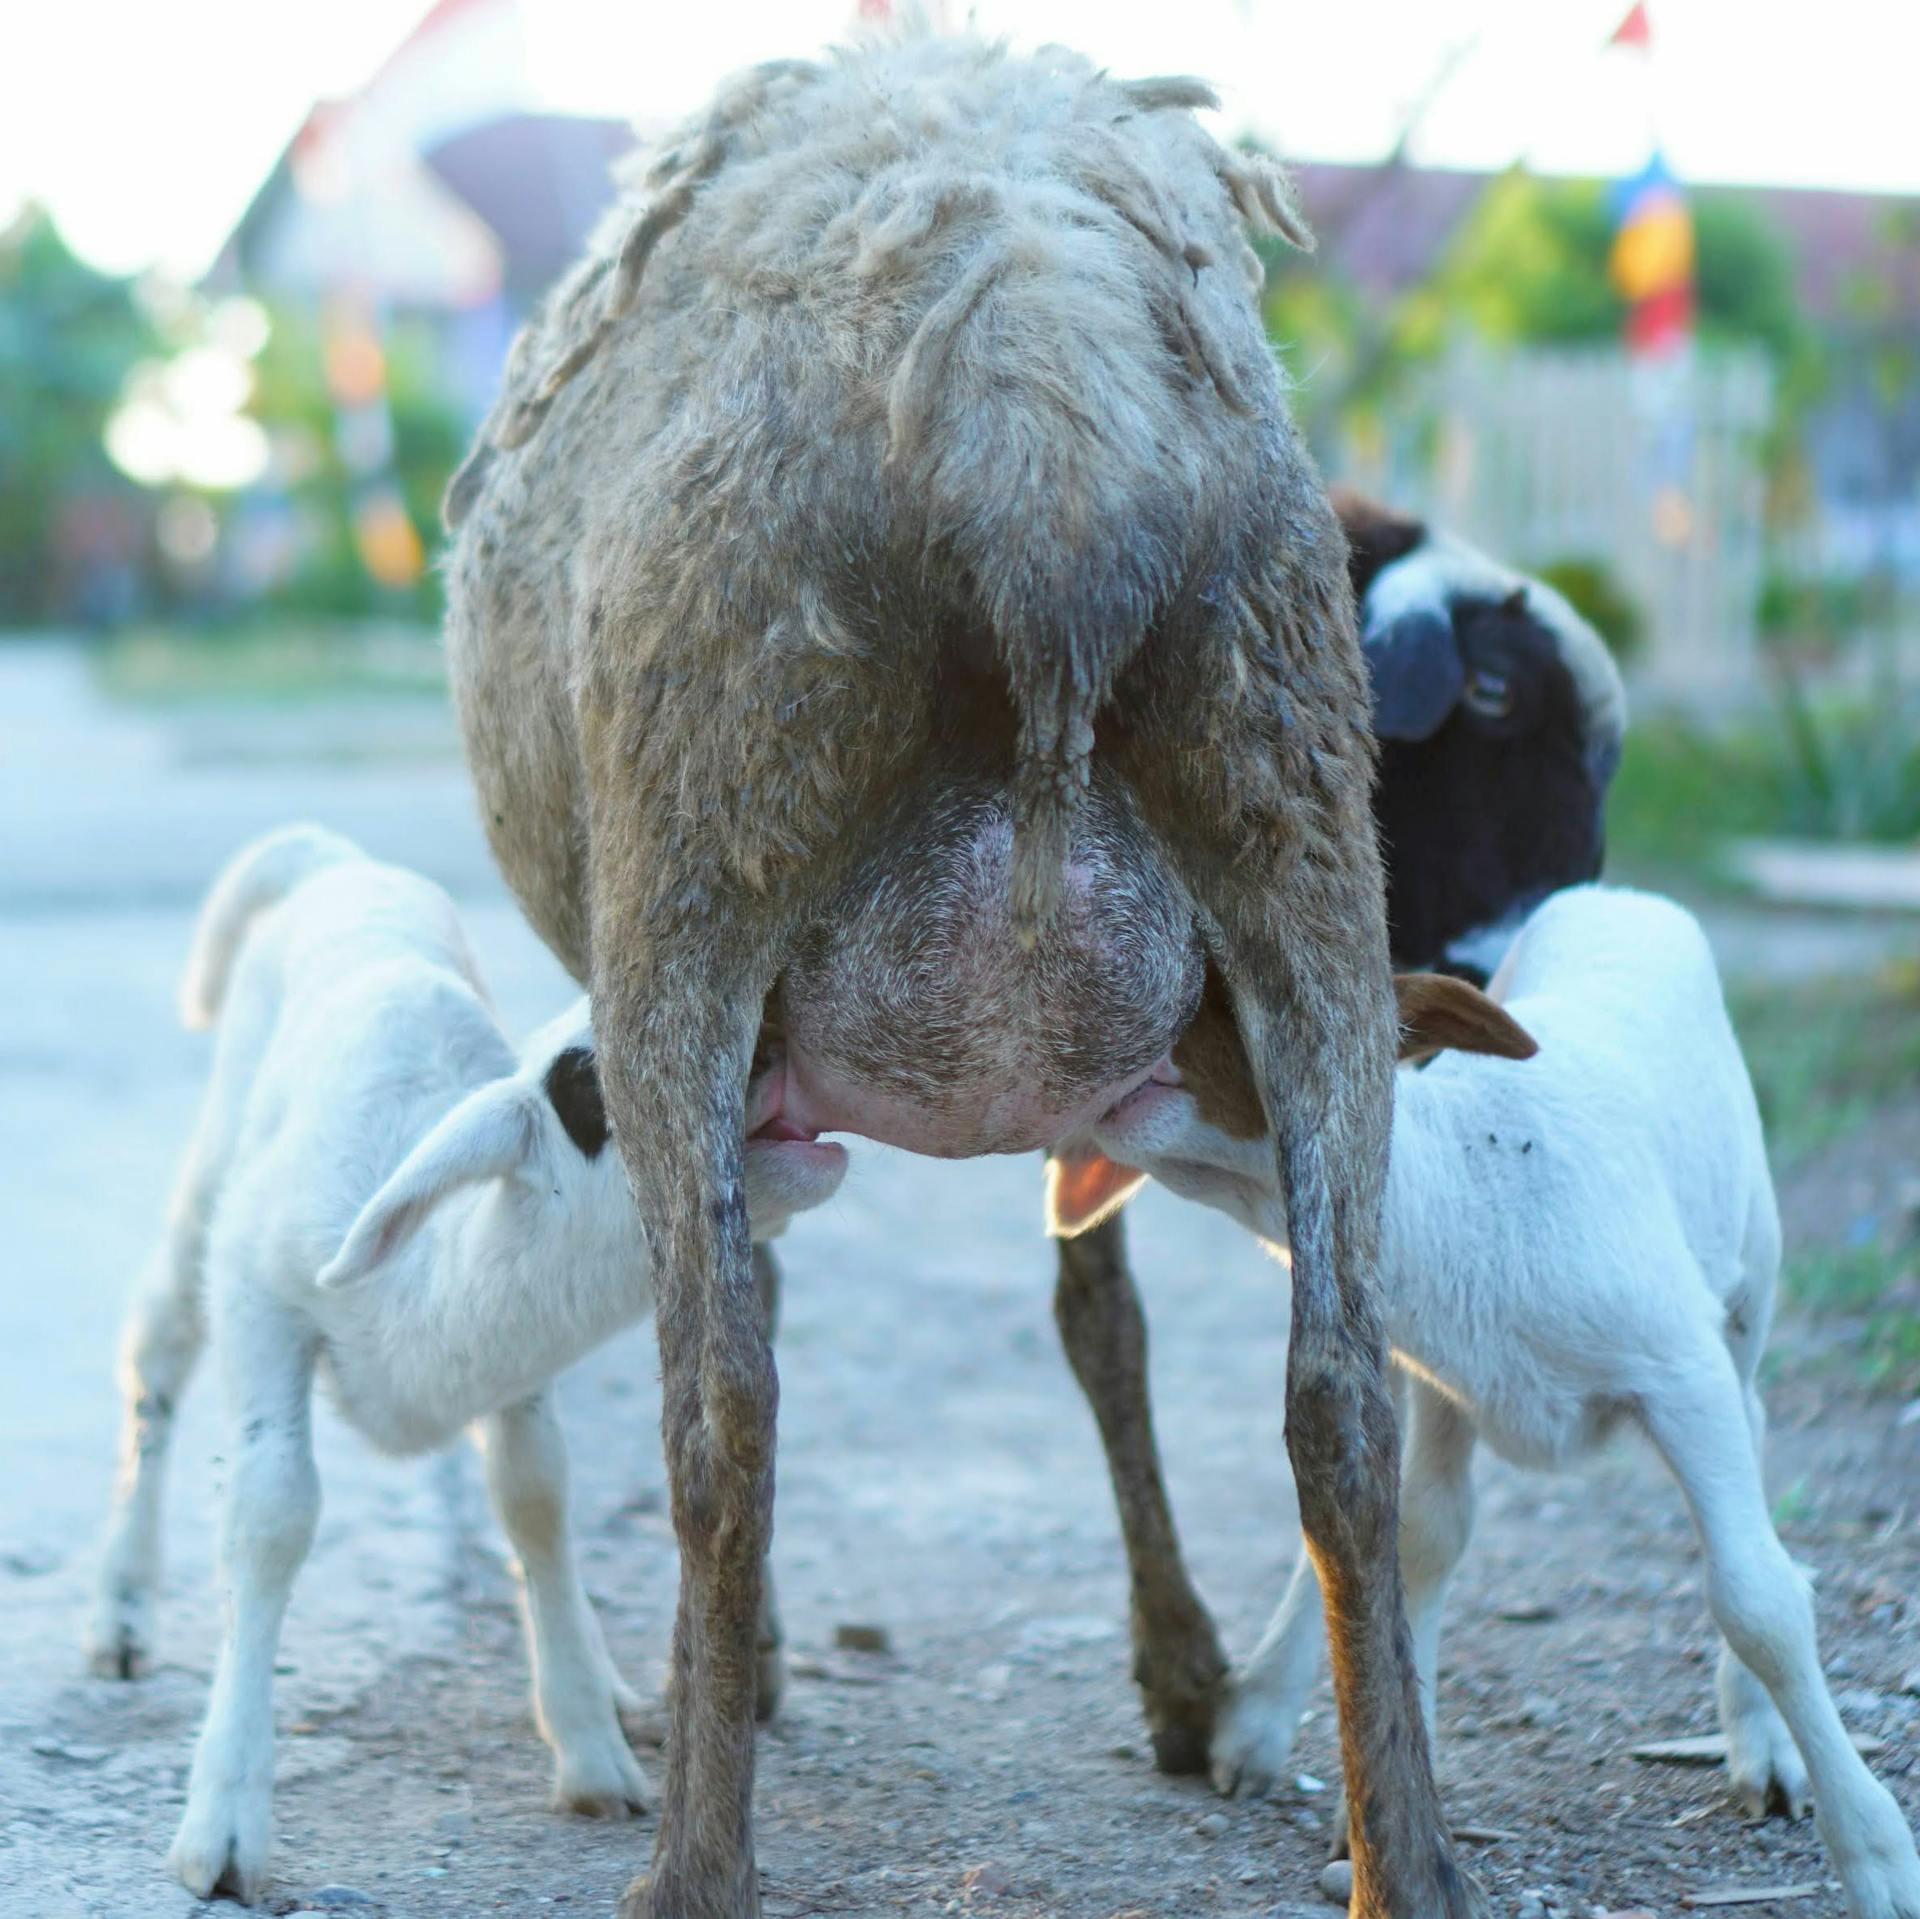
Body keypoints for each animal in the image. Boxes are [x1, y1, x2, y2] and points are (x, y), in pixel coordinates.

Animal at [445, 33, 1466, 1919]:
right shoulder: (1107, 1067)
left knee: (723, 1404)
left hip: (692, 872)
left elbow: (792, 1310)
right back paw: (1407, 1857)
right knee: (1341, 1396)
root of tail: (1035, 402)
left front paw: (761, 1671)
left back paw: (695, 1860)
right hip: (1299, 833)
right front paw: (1178, 1670)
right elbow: (1104, 1317)